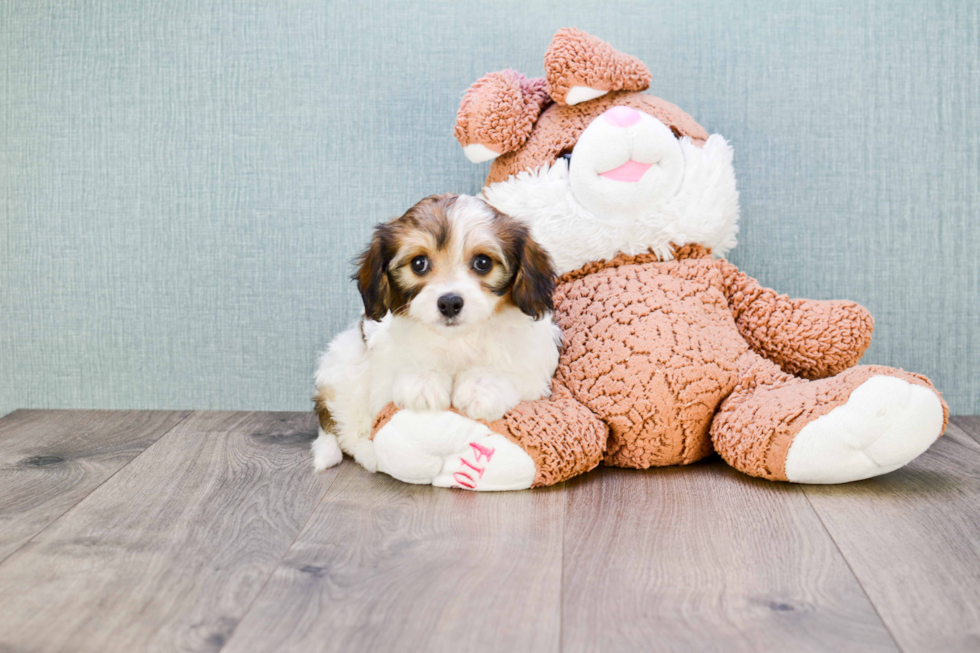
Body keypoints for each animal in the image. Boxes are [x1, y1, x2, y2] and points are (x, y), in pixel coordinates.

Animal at [314, 191, 560, 472]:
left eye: (483, 262)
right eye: (419, 263)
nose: (450, 302)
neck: (457, 340)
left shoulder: (534, 366)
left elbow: (511, 369)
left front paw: (481, 387)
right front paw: (423, 383)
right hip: (344, 366)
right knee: (347, 427)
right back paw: (369, 451)